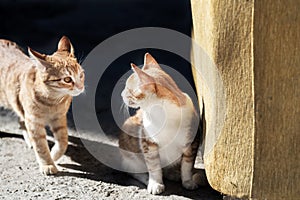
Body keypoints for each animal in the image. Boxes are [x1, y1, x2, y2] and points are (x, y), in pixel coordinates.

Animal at [119, 52, 202, 194]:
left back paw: (174, 174)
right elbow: (153, 165)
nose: (121, 94)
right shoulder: (148, 142)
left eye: (128, 90)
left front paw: (188, 181)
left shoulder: (192, 141)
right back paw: (147, 179)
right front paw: (155, 183)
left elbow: (187, 165)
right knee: (134, 171)